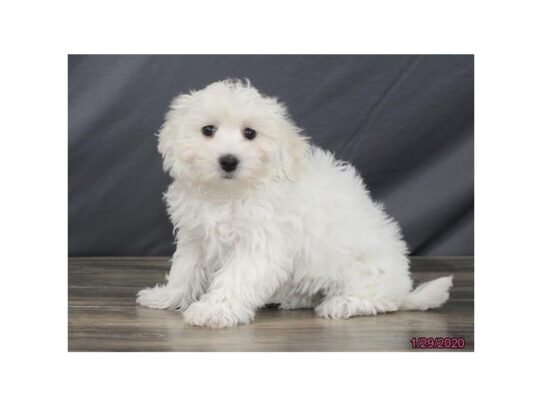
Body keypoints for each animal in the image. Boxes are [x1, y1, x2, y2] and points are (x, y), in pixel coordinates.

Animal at [137, 79, 454, 328]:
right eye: (208, 130)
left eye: (250, 133)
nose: (228, 160)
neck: (229, 193)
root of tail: (403, 289)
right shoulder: (196, 237)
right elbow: (184, 270)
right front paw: (167, 296)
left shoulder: (260, 243)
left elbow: (236, 277)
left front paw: (213, 310)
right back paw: (290, 297)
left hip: (366, 270)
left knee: (380, 299)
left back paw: (344, 303)